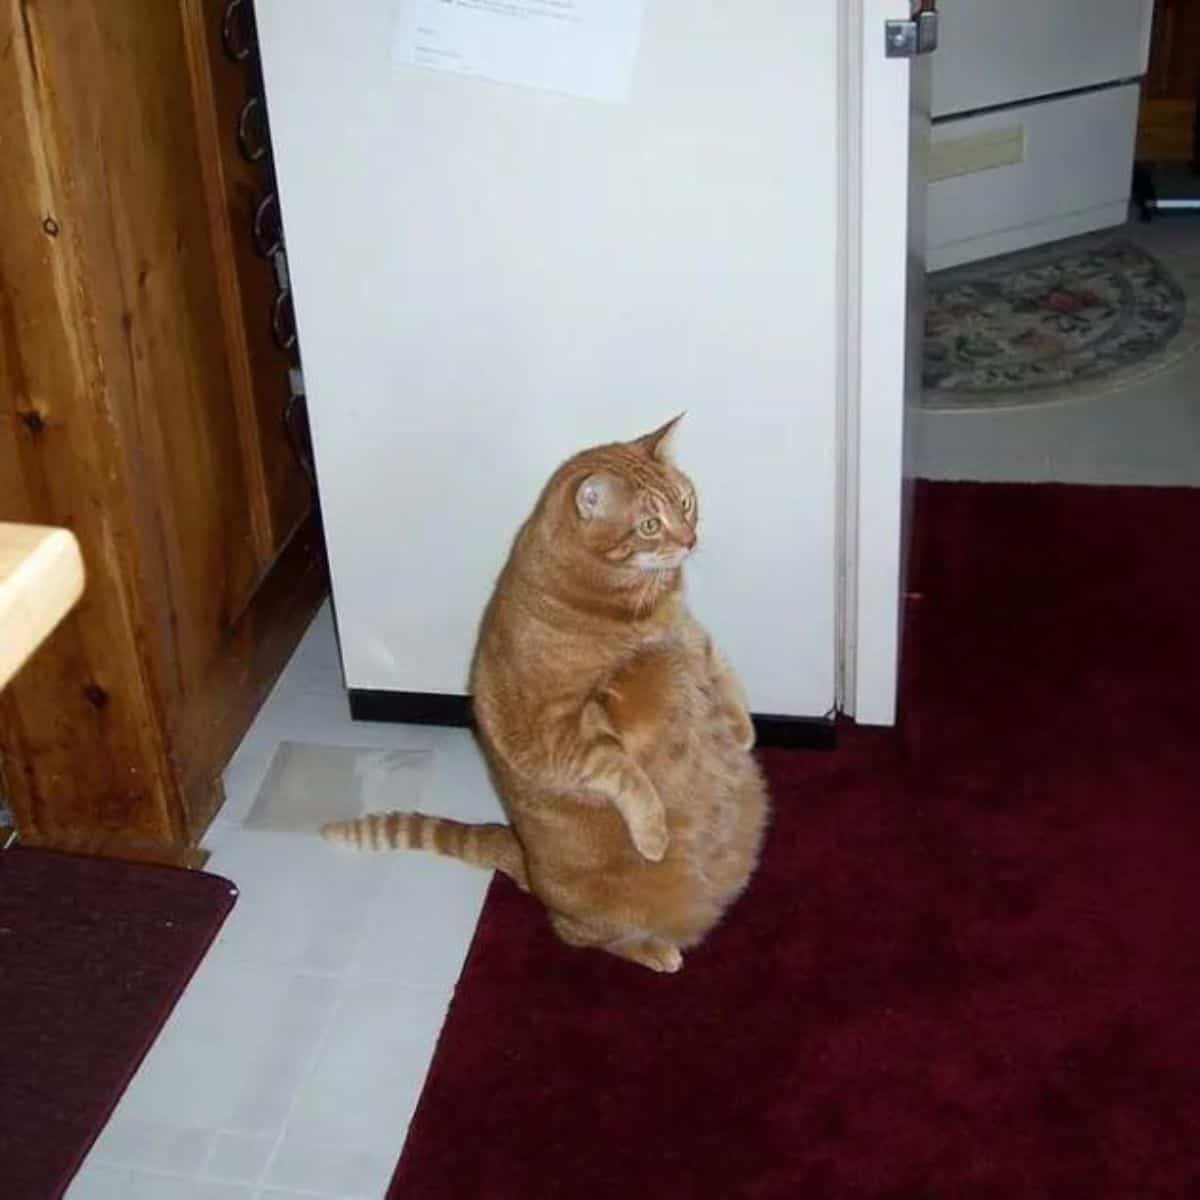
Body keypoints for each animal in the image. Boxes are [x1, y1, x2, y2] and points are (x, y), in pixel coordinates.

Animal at [321, 422, 768, 974]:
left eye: (685, 502)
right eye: (648, 525)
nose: (690, 540)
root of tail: (524, 859)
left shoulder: (685, 634)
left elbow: (718, 667)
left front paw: (742, 730)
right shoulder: (560, 732)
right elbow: (627, 774)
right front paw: (653, 833)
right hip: (592, 918)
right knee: (583, 936)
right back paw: (656, 949)